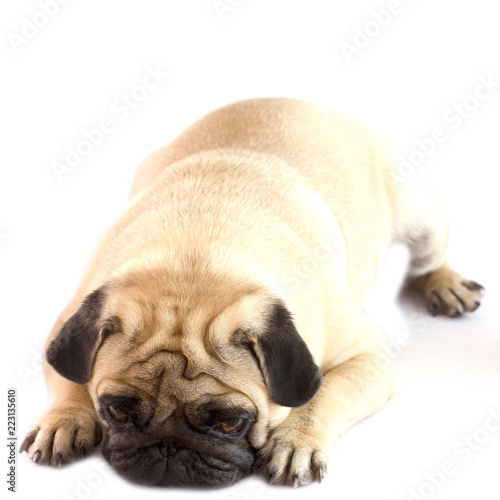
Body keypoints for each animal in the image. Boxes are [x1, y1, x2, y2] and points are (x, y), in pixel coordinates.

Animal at [20, 98, 484, 488]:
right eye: (117, 412)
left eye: (230, 423)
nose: (168, 447)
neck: (195, 261)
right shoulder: (68, 325)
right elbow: (71, 376)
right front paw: (65, 420)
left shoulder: (368, 357)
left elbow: (325, 394)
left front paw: (296, 441)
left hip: (422, 217)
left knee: (427, 258)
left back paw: (446, 285)